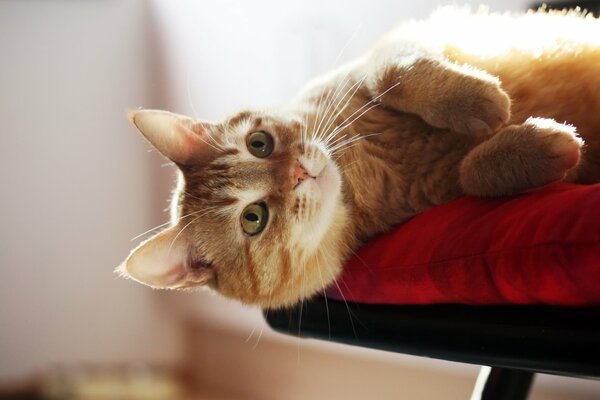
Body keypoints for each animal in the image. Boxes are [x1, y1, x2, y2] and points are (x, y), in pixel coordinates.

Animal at [116, 7, 600, 310]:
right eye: (253, 219)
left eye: (259, 143)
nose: (298, 171)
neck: (357, 170)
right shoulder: (442, 191)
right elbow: (473, 173)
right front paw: (539, 146)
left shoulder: (394, 46)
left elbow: (395, 72)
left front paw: (477, 98)